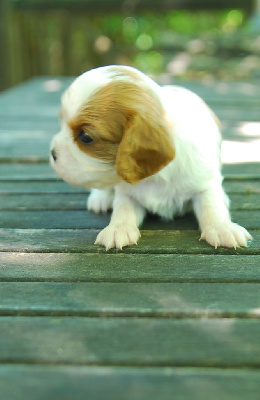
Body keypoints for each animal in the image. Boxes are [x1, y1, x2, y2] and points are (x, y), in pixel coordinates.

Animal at [50, 64, 252, 248]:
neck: (155, 176)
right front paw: (118, 228)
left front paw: (222, 228)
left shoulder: (204, 181)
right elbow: (123, 207)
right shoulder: (126, 192)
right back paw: (101, 197)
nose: (52, 153)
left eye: (85, 137)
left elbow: (211, 204)